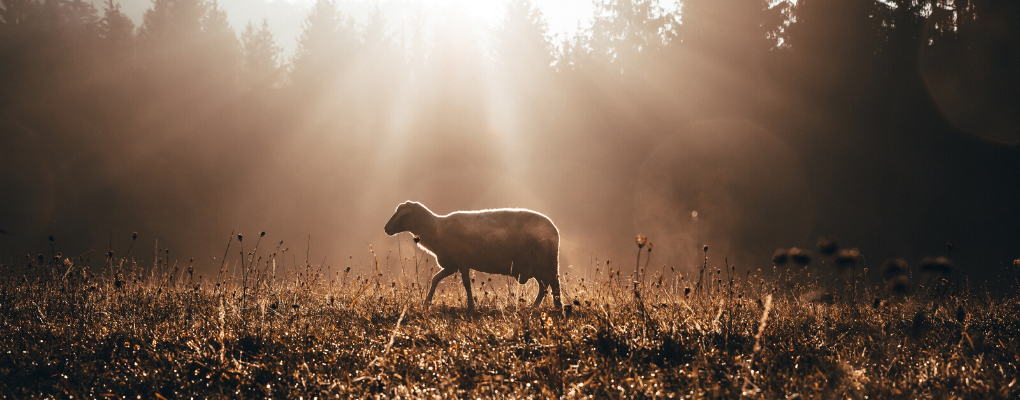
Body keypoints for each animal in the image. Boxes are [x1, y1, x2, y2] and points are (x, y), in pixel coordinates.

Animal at [383, 200, 563, 312]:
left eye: (400, 214)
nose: (386, 228)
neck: (435, 229)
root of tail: (555, 229)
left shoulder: (461, 262)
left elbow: (466, 284)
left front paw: (470, 307)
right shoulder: (452, 264)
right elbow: (435, 279)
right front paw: (427, 303)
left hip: (545, 263)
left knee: (554, 284)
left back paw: (558, 306)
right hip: (534, 267)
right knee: (544, 286)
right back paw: (535, 307)